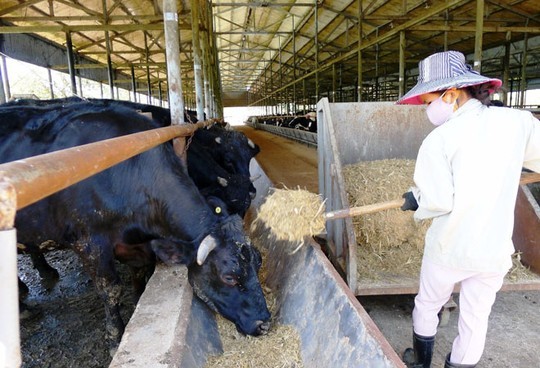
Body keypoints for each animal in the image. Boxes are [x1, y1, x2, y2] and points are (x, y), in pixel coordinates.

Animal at [0, 103, 270, 350]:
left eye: (259, 263)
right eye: (229, 277)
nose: (264, 324)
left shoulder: (136, 245)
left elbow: (139, 273)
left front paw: (138, 300)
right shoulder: (88, 243)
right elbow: (110, 290)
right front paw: (115, 337)